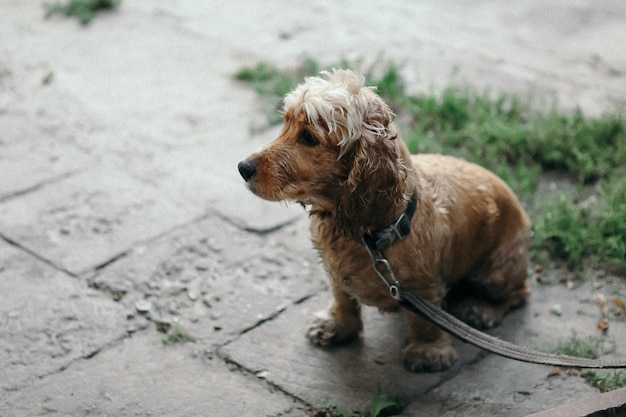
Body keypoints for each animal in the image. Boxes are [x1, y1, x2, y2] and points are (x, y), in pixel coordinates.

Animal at [236, 69, 528, 370]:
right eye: (285, 123)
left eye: (308, 137)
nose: (243, 168)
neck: (372, 235)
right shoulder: (334, 271)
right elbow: (343, 297)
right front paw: (338, 326)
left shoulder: (423, 286)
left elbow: (424, 322)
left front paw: (428, 351)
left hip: (497, 271)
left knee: (520, 292)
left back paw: (484, 310)